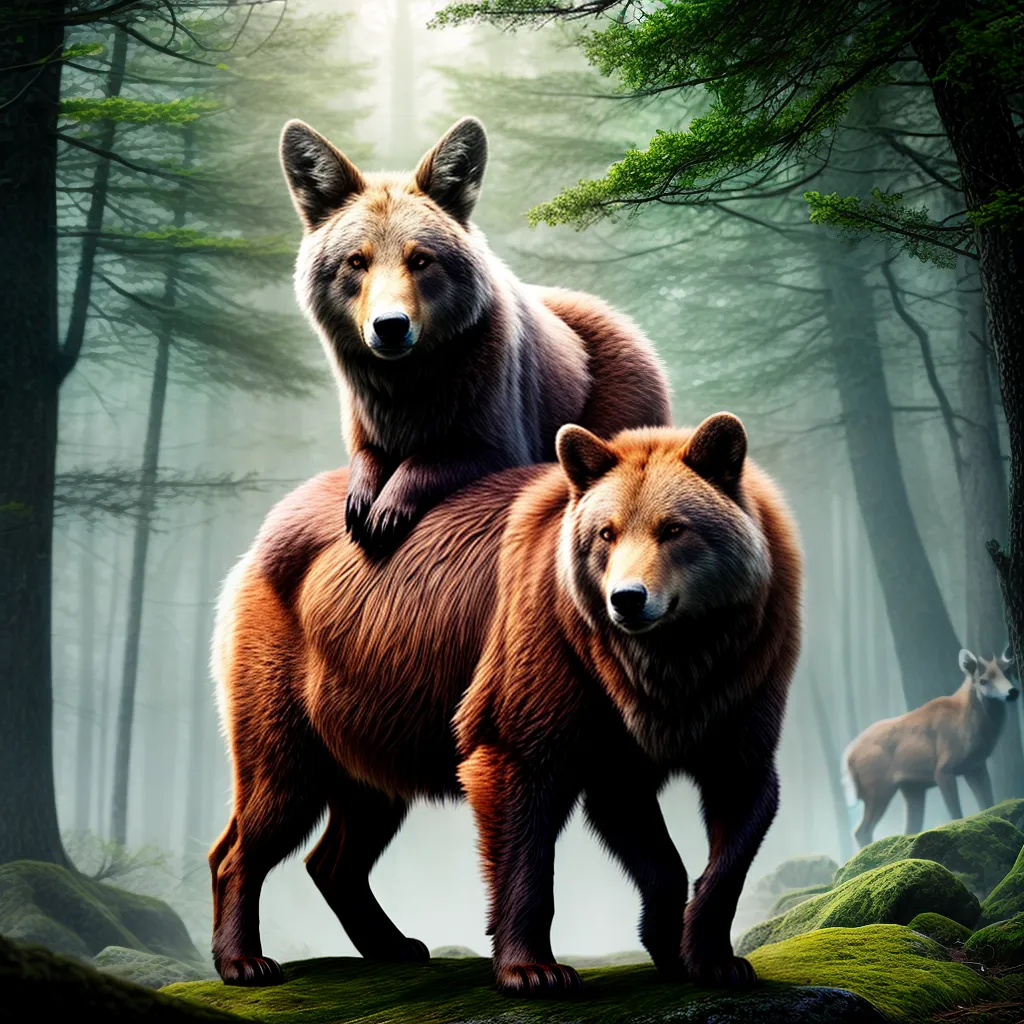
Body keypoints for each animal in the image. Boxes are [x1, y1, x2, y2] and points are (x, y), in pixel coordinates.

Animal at [209, 414, 802, 996]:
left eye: (674, 528)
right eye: (606, 532)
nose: (628, 599)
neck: (668, 663)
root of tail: (267, 530)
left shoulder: (736, 688)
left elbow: (730, 814)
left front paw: (704, 957)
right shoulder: (556, 666)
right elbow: (524, 818)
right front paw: (534, 969)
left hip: (373, 719)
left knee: (353, 828)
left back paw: (396, 944)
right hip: (294, 685)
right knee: (269, 804)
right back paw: (245, 959)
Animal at [279, 115, 670, 555]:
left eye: (420, 259)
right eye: (356, 261)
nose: (391, 325)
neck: (406, 384)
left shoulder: (495, 410)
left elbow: (448, 456)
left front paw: (385, 513)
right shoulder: (367, 412)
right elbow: (367, 456)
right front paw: (361, 500)